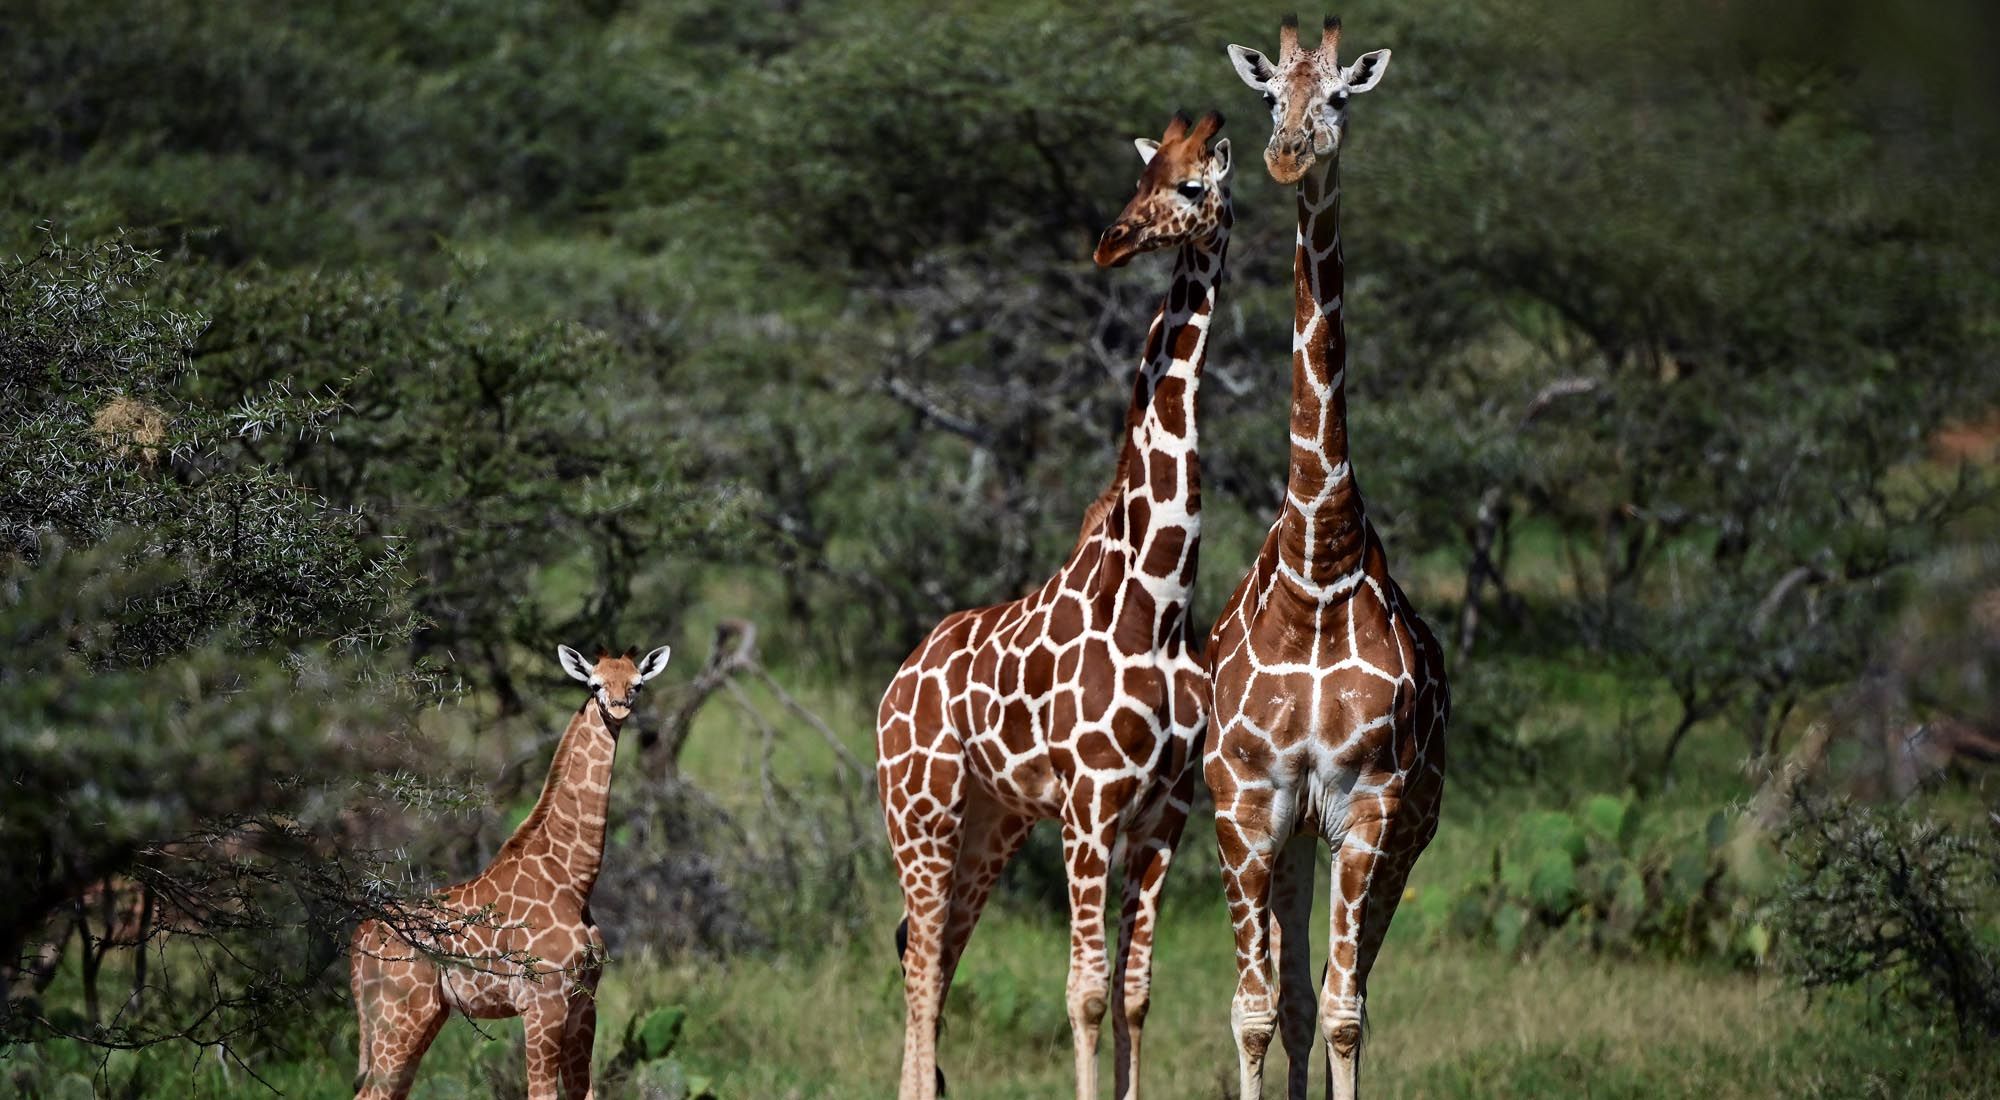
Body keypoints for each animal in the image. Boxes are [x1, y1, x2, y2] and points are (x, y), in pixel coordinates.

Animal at [352, 648, 672, 1100]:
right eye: (595, 684)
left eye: (637, 684)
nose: (619, 707)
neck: (573, 882)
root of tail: (357, 939)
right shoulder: (543, 1003)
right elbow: (541, 1093)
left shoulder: (584, 1002)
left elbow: (586, 1093)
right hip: (397, 1015)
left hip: (423, 1015)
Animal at [880, 112, 1232, 1100]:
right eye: (1142, 175)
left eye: (1193, 185)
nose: (1111, 240)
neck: (1161, 601)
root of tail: (896, 682)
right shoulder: (1092, 806)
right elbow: (1080, 993)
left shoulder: (1165, 816)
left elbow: (1134, 995)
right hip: (920, 815)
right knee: (920, 969)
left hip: (988, 828)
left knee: (934, 963)